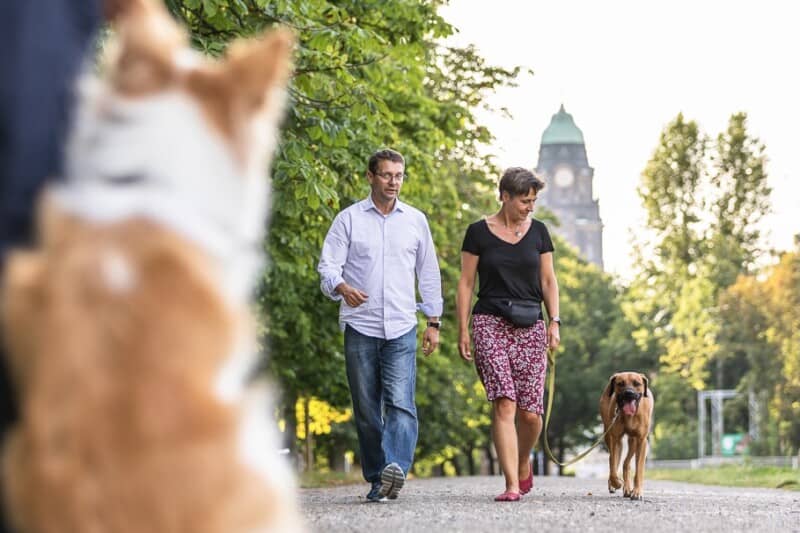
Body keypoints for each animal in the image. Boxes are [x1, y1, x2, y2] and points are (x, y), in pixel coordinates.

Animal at [600, 370, 648, 498]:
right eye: (620, 383)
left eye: (637, 383)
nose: (629, 393)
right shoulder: (616, 438)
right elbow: (613, 467)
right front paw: (616, 483)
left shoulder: (641, 440)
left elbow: (639, 470)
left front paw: (637, 491)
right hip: (608, 434)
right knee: (613, 459)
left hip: (633, 441)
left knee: (626, 463)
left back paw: (628, 489)